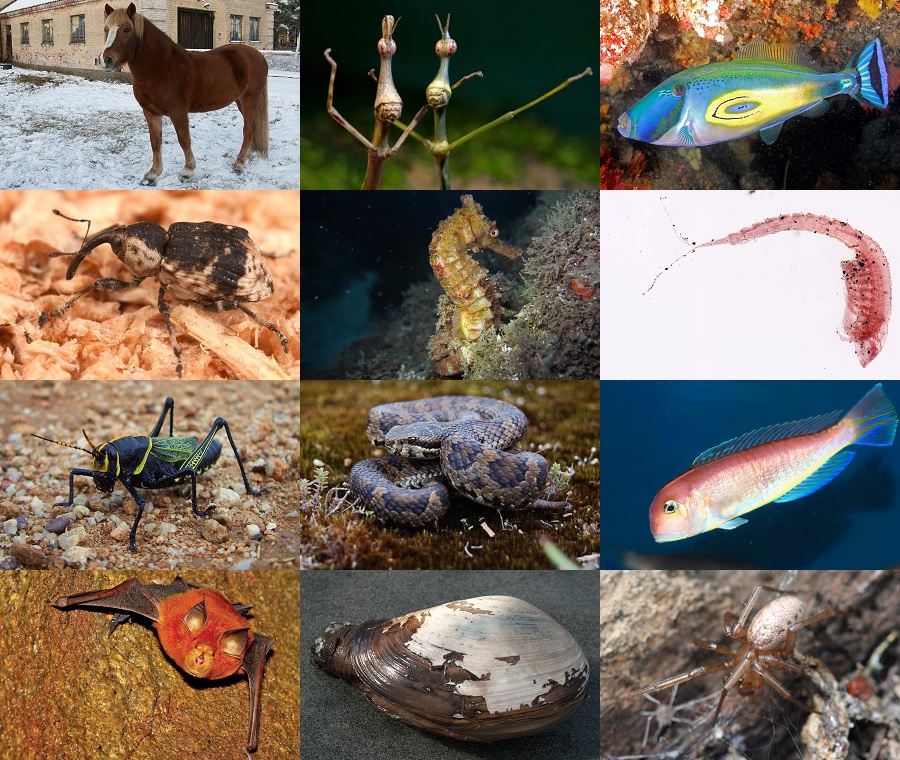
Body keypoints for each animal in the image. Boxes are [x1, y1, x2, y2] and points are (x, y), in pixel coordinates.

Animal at [100, 3, 268, 183]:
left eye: (126, 29)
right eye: (106, 29)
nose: (106, 60)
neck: (160, 67)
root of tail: (259, 56)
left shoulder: (178, 112)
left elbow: (184, 139)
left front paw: (188, 170)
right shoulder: (150, 112)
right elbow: (155, 141)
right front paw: (154, 172)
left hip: (250, 99)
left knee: (248, 128)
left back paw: (239, 163)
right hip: (240, 101)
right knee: (252, 127)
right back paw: (247, 155)